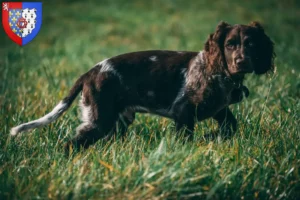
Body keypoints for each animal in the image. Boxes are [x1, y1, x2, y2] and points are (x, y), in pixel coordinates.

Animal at [11, 21, 274, 151]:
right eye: (229, 44)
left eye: (251, 44)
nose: (241, 62)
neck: (220, 74)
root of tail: (91, 71)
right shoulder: (183, 111)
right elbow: (186, 138)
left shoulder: (218, 109)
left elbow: (231, 126)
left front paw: (212, 136)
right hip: (99, 120)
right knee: (72, 144)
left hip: (117, 123)